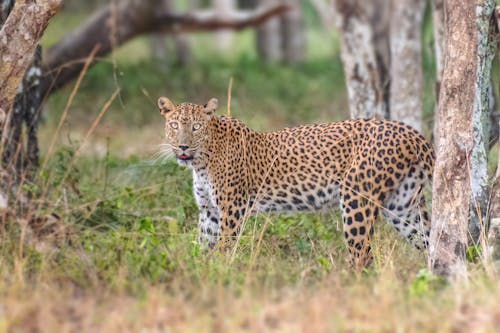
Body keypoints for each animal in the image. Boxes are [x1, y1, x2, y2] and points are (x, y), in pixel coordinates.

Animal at [158, 96, 436, 268]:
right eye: (174, 125)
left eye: (195, 127)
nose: (183, 146)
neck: (201, 161)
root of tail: (412, 133)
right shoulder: (209, 212)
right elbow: (202, 246)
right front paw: (200, 271)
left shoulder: (232, 210)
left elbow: (224, 248)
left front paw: (221, 275)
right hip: (403, 205)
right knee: (431, 242)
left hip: (356, 199)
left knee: (362, 256)